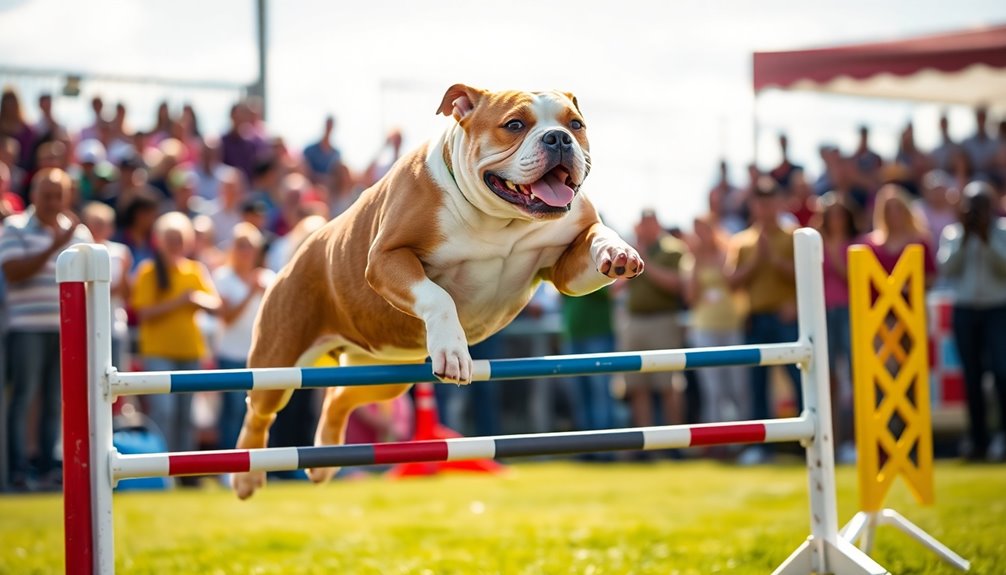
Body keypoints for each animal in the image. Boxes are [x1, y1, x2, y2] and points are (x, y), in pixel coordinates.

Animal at [233, 84, 643, 498]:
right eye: (514, 124)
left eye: (575, 125)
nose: (558, 138)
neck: (501, 220)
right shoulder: (387, 258)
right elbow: (438, 296)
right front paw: (453, 352)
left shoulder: (564, 268)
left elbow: (597, 236)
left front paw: (617, 252)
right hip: (278, 362)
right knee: (259, 410)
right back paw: (246, 475)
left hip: (385, 375)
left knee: (339, 398)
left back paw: (323, 459)